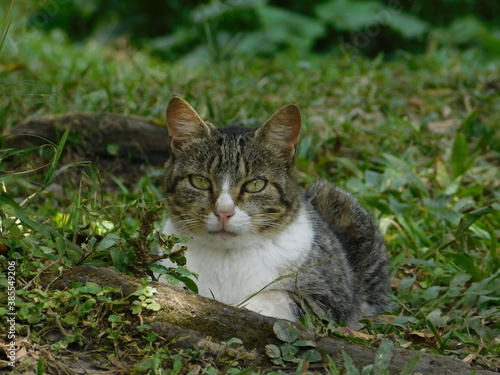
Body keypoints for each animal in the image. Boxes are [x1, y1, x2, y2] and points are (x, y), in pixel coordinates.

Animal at [160, 97, 390, 326]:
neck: (227, 258)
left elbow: (275, 298)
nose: (224, 212)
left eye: (255, 184)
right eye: (200, 181)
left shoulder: (328, 299)